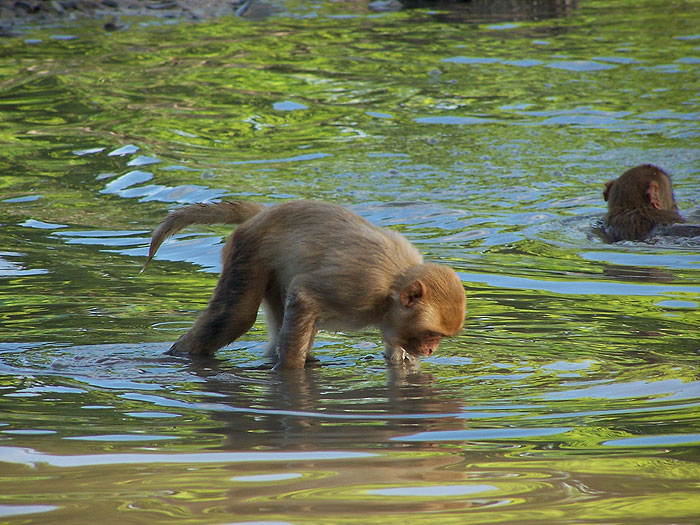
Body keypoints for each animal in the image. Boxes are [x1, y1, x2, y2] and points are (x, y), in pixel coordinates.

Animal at [142, 200, 464, 368]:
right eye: (430, 335)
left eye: (438, 338)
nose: (431, 350)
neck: (391, 290)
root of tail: (265, 212)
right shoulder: (360, 287)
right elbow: (305, 295)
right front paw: (289, 372)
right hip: (248, 251)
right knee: (235, 317)